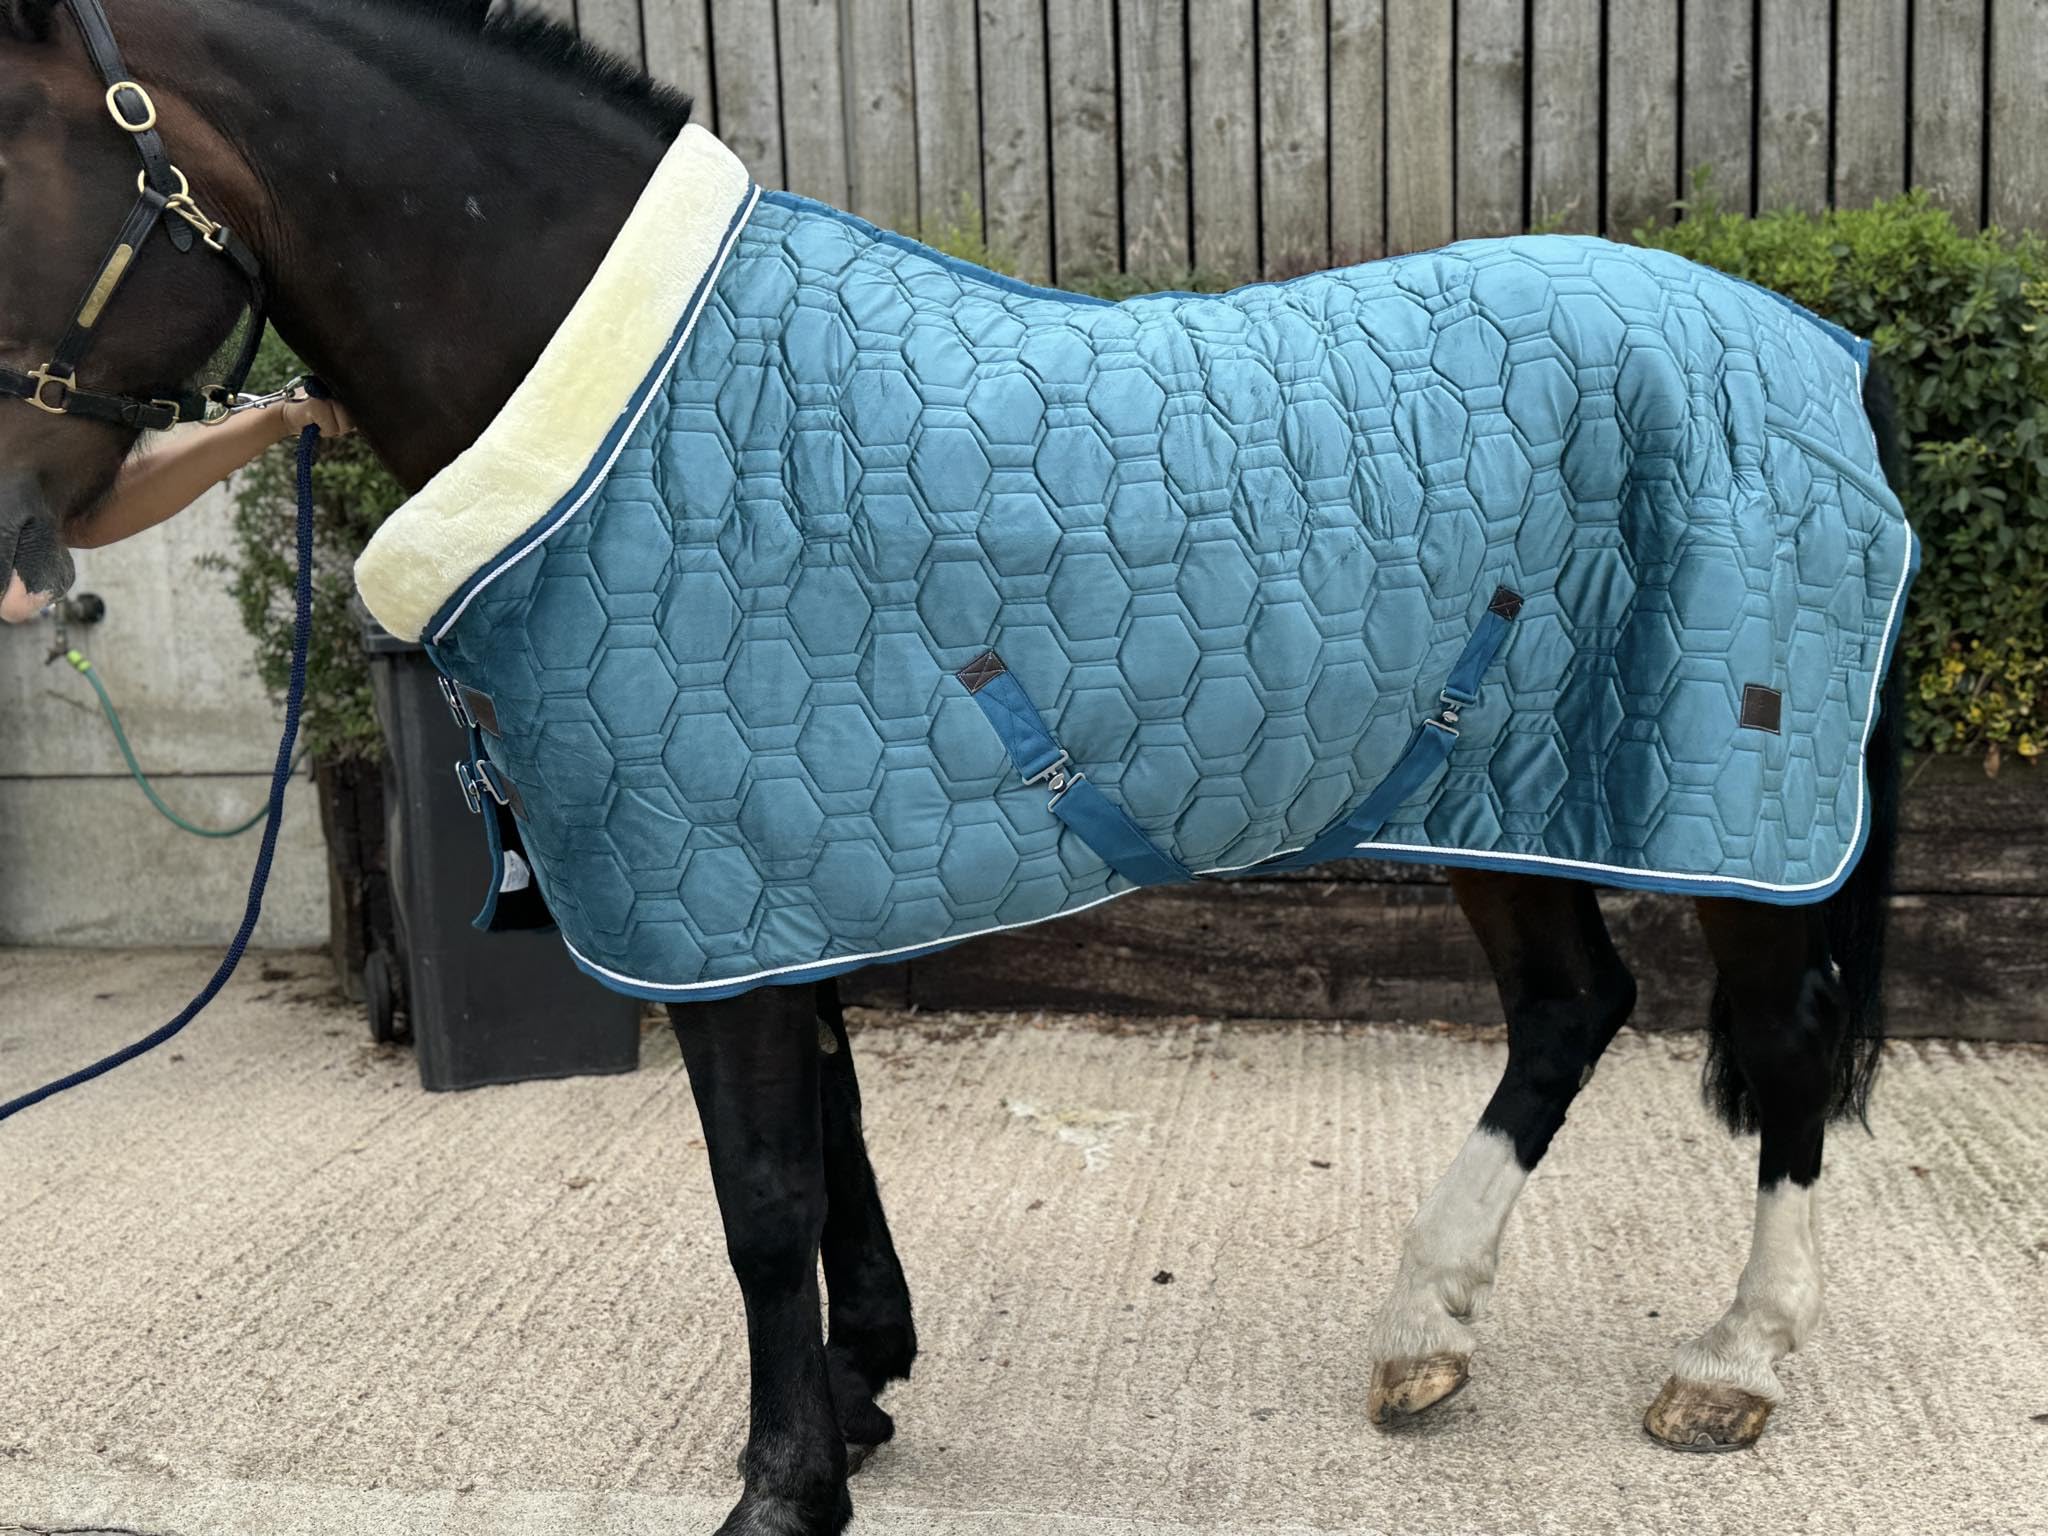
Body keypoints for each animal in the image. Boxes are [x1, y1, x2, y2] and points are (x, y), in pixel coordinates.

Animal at [0, 3, 1907, 1532]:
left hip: (1733, 816)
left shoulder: (720, 888)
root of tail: (1816, 345)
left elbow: (760, 1192)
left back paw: (1732, 1365)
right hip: (1496, 791)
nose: (20, 546)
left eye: (6, 174)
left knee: (1781, 1040)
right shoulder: (782, 878)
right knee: (1572, 1010)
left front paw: (783, 1486)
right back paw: (1424, 1329)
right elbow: (831, 1136)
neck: (636, 416)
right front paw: (861, 1390)